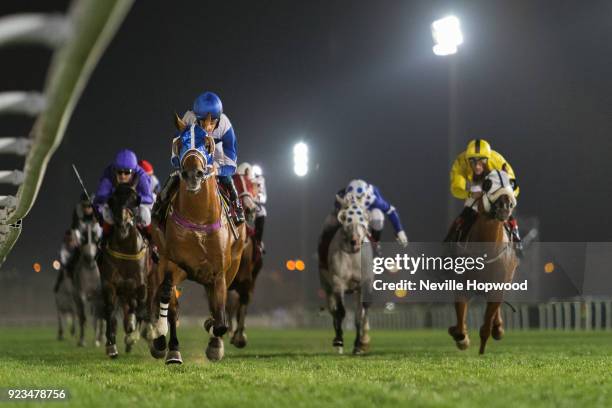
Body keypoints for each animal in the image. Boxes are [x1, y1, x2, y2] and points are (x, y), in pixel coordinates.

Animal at [149, 123, 245, 364]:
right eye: (180, 141)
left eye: (207, 142)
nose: (193, 173)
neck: (199, 220)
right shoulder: (174, 264)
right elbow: (167, 297)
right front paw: (163, 340)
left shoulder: (219, 272)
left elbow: (220, 319)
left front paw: (214, 338)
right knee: (166, 299)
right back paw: (167, 346)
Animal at [320, 203, 372, 354]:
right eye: (347, 223)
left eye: (362, 223)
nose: (355, 242)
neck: (353, 258)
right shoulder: (338, 283)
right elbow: (341, 312)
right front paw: (339, 340)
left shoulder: (364, 285)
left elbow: (359, 315)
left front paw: (359, 344)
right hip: (326, 287)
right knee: (333, 311)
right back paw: (338, 342)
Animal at [448, 169, 520, 354]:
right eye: (488, 183)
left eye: (512, 183)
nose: (505, 205)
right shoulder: (462, 284)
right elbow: (460, 326)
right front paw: (461, 337)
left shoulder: (498, 285)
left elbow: (486, 327)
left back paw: (498, 328)